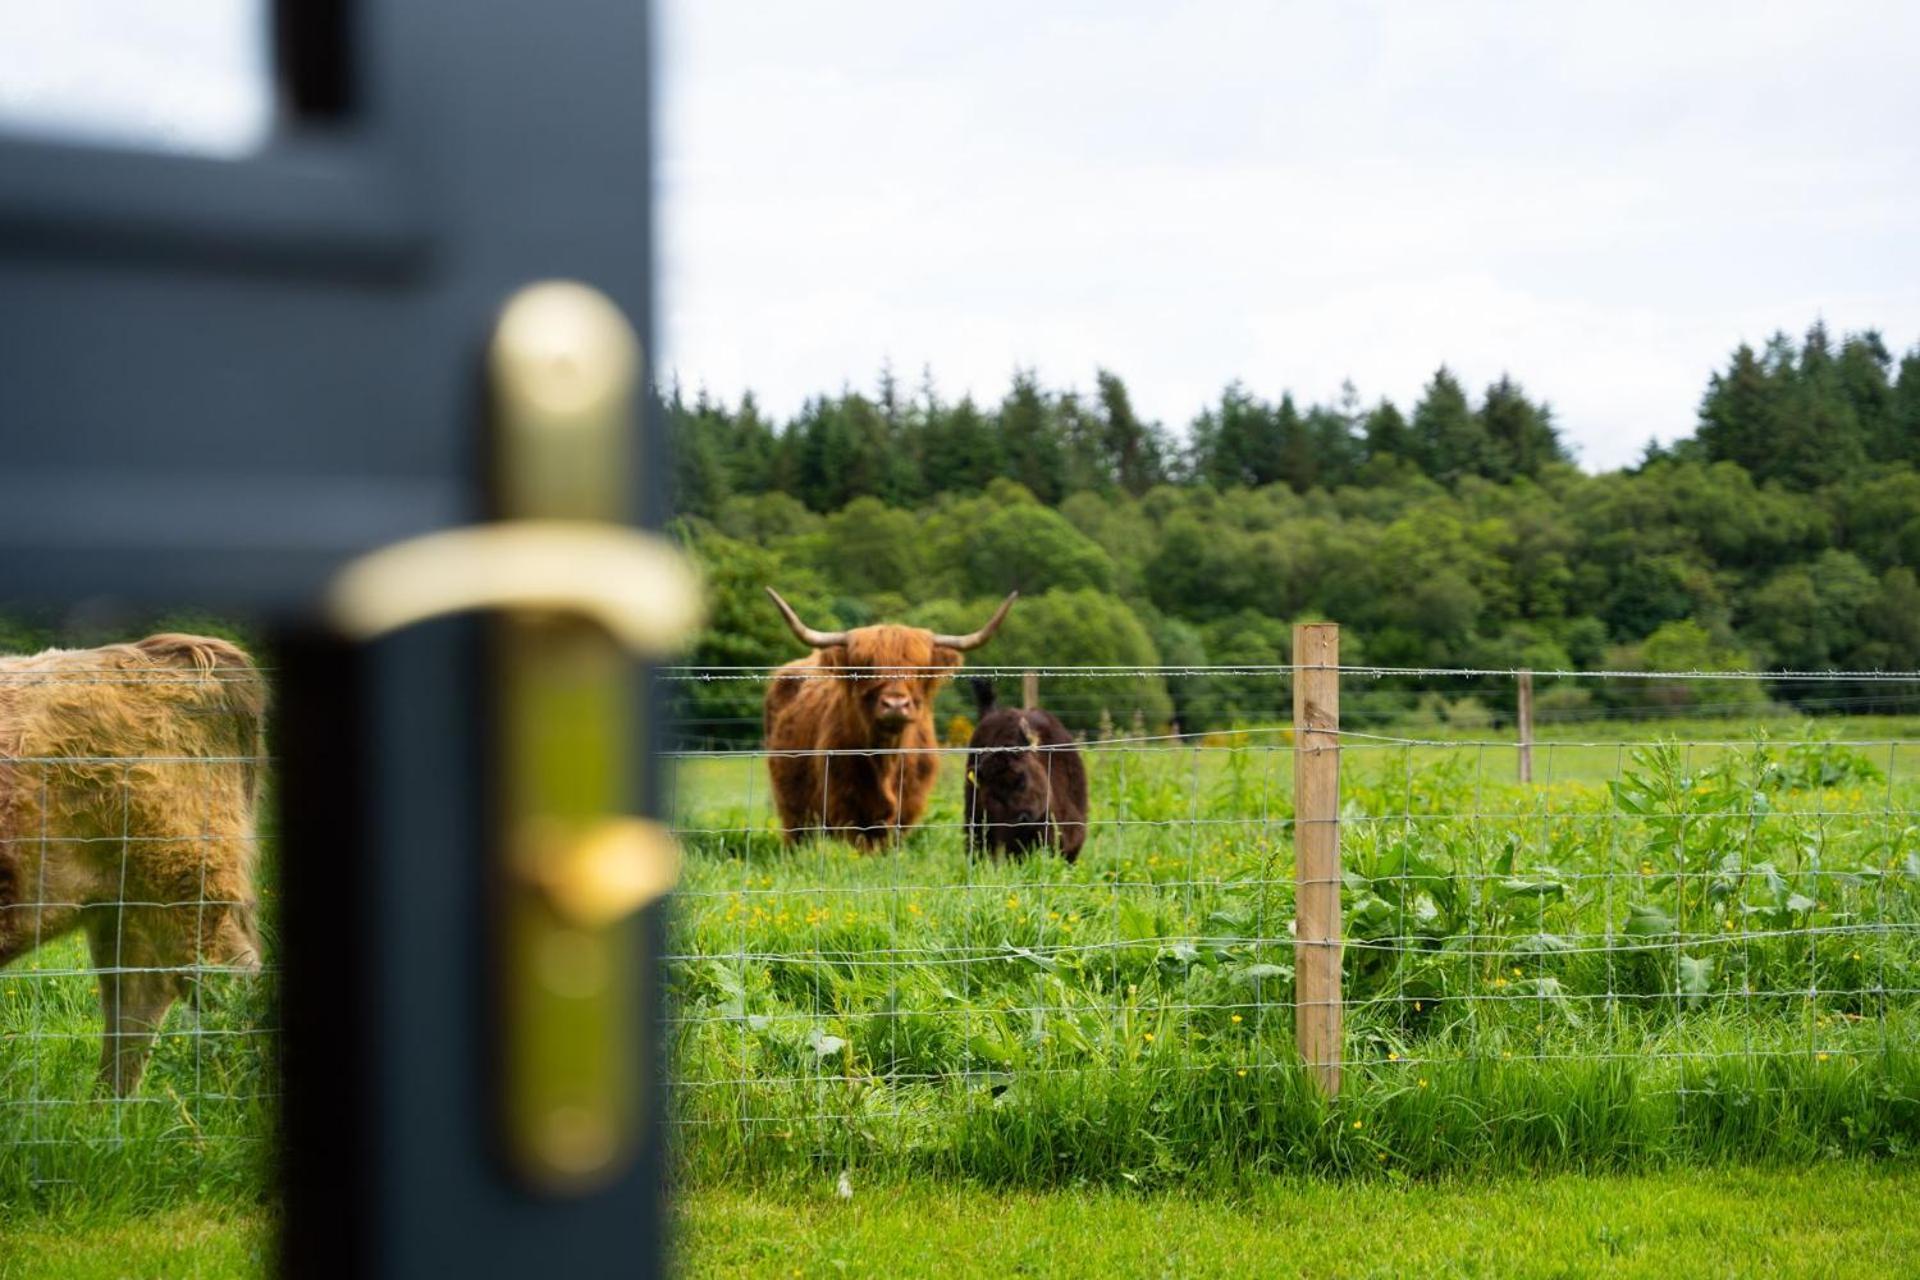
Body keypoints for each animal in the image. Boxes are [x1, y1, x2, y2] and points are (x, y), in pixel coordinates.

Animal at [760, 594, 1013, 852]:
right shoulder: (844, 805)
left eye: (919, 670)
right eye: (866, 668)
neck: (887, 756)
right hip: (793, 806)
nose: (895, 704)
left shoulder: (907, 806)